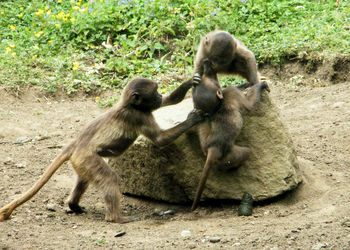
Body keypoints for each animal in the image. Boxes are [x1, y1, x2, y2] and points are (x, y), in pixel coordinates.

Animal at [0, 77, 205, 224]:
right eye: (154, 92)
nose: (159, 96)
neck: (127, 105)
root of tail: (77, 143)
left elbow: (169, 102)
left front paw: (189, 82)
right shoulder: (139, 116)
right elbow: (161, 140)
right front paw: (192, 119)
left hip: (81, 162)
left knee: (84, 179)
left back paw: (73, 205)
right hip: (86, 158)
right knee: (109, 178)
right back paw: (115, 218)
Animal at [191, 59, 268, 210]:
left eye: (208, 77)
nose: (206, 63)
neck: (217, 106)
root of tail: (212, 149)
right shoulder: (232, 92)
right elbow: (249, 105)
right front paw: (260, 85)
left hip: (205, 142)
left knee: (203, 126)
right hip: (230, 156)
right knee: (245, 153)